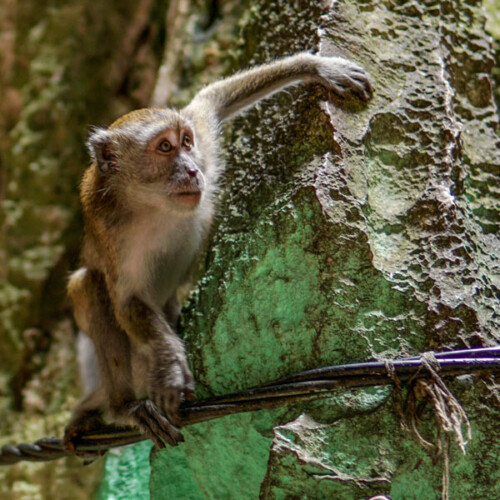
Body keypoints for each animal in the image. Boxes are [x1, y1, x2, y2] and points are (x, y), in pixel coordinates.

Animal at [64, 52, 372, 452]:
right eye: (165, 148)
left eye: (186, 141)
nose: (193, 171)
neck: (150, 203)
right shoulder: (111, 231)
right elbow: (127, 300)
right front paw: (170, 362)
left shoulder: (204, 146)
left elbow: (211, 100)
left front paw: (317, 67)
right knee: (88, 287)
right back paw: (123, 408)